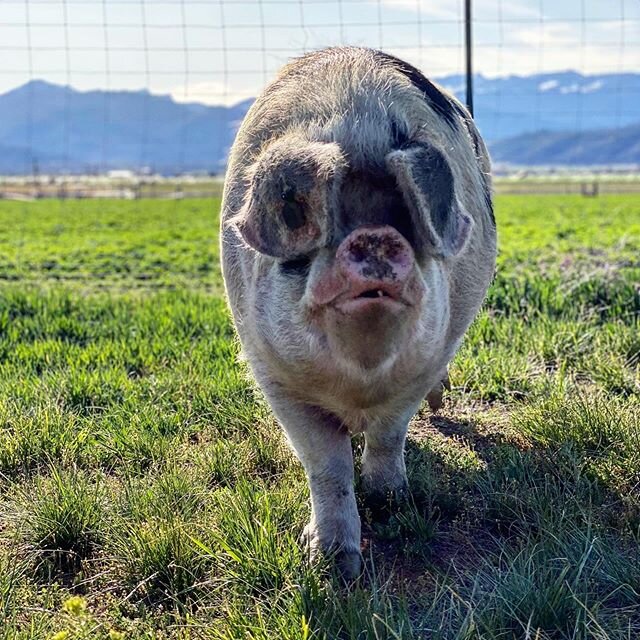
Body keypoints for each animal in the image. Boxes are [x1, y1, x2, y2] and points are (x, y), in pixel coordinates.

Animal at [222, 46, 498, 580]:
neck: (359, 386)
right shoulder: (273, 374)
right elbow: (325, 466)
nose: (373, 235)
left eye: (405, 220)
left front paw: (391, 503)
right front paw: (333, 566)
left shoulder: (427, 361)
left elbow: (391, 434)